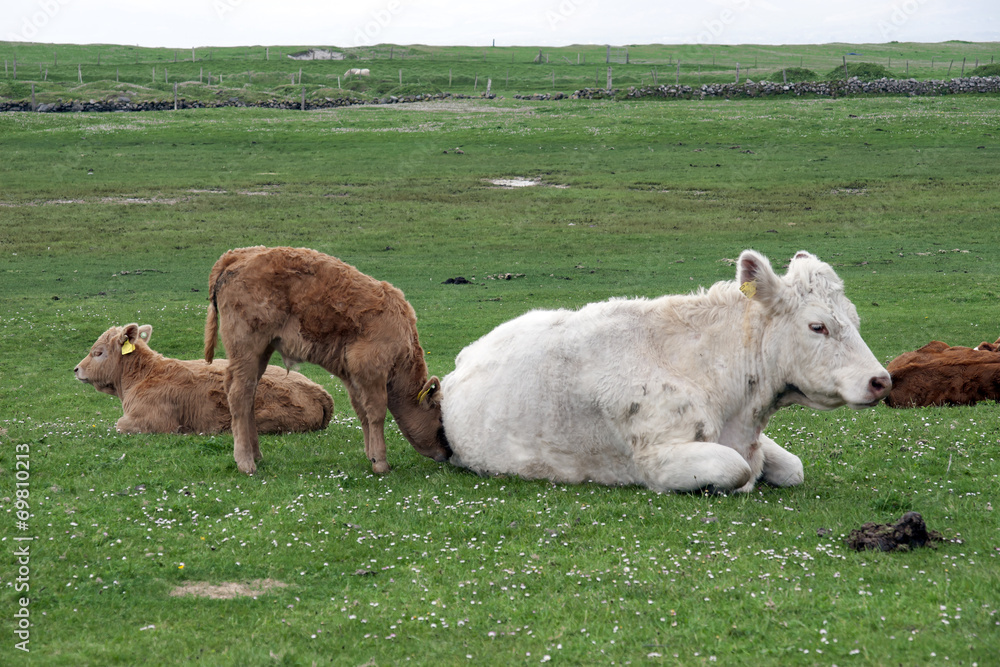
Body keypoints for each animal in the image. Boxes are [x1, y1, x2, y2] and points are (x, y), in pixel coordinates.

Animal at [74, 323, 333, 435]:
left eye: (98, 352)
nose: (76, 369)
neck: (142, 375)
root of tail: (318, 390)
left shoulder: (150, 421)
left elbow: (119, 425)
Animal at [204, 246, 450, 475]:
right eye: (440, 421)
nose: (447, 453)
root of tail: (236, 256)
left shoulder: (353, 377)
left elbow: (363, 413)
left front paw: (370, 455)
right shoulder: (371, 371)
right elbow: (377, 413)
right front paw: (381, 462)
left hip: (261, 352)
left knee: (249, 395)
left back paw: (256, 454)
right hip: (247, 349)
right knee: (239, 396)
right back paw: (246, 462)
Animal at [440, 250, 891, 494]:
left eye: (854, 319)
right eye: (818, 326)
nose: (881, 381)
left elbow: (792, 467)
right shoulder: (657, 458)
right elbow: (737, 469)